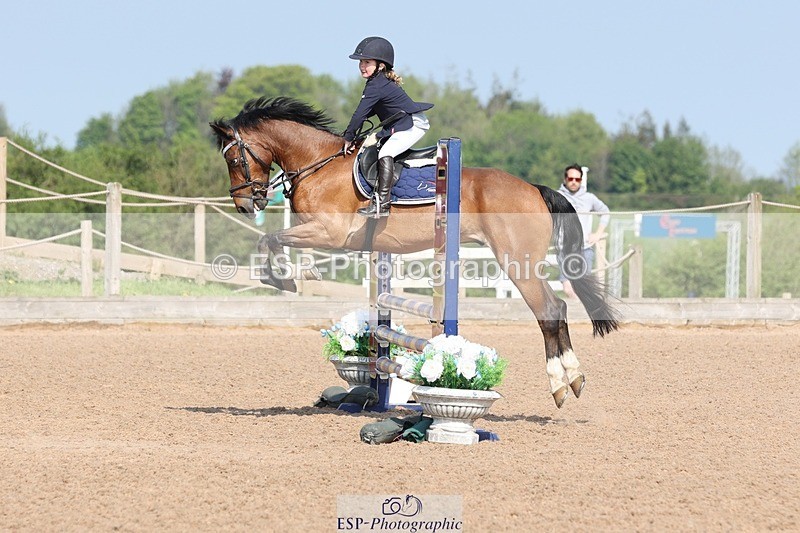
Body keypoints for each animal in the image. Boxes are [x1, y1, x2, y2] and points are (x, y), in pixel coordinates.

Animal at [210, 96, 619, 408]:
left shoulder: (329, 233)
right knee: (559, 307)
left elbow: (270, 239)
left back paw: (561, 384)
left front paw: (281, 279)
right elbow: (272, 240)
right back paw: (573, 379)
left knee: (550, 309)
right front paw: (288, 276)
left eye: (233, 159)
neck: (318, 163)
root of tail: (534, 189)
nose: (245, 205)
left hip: (518, 261)